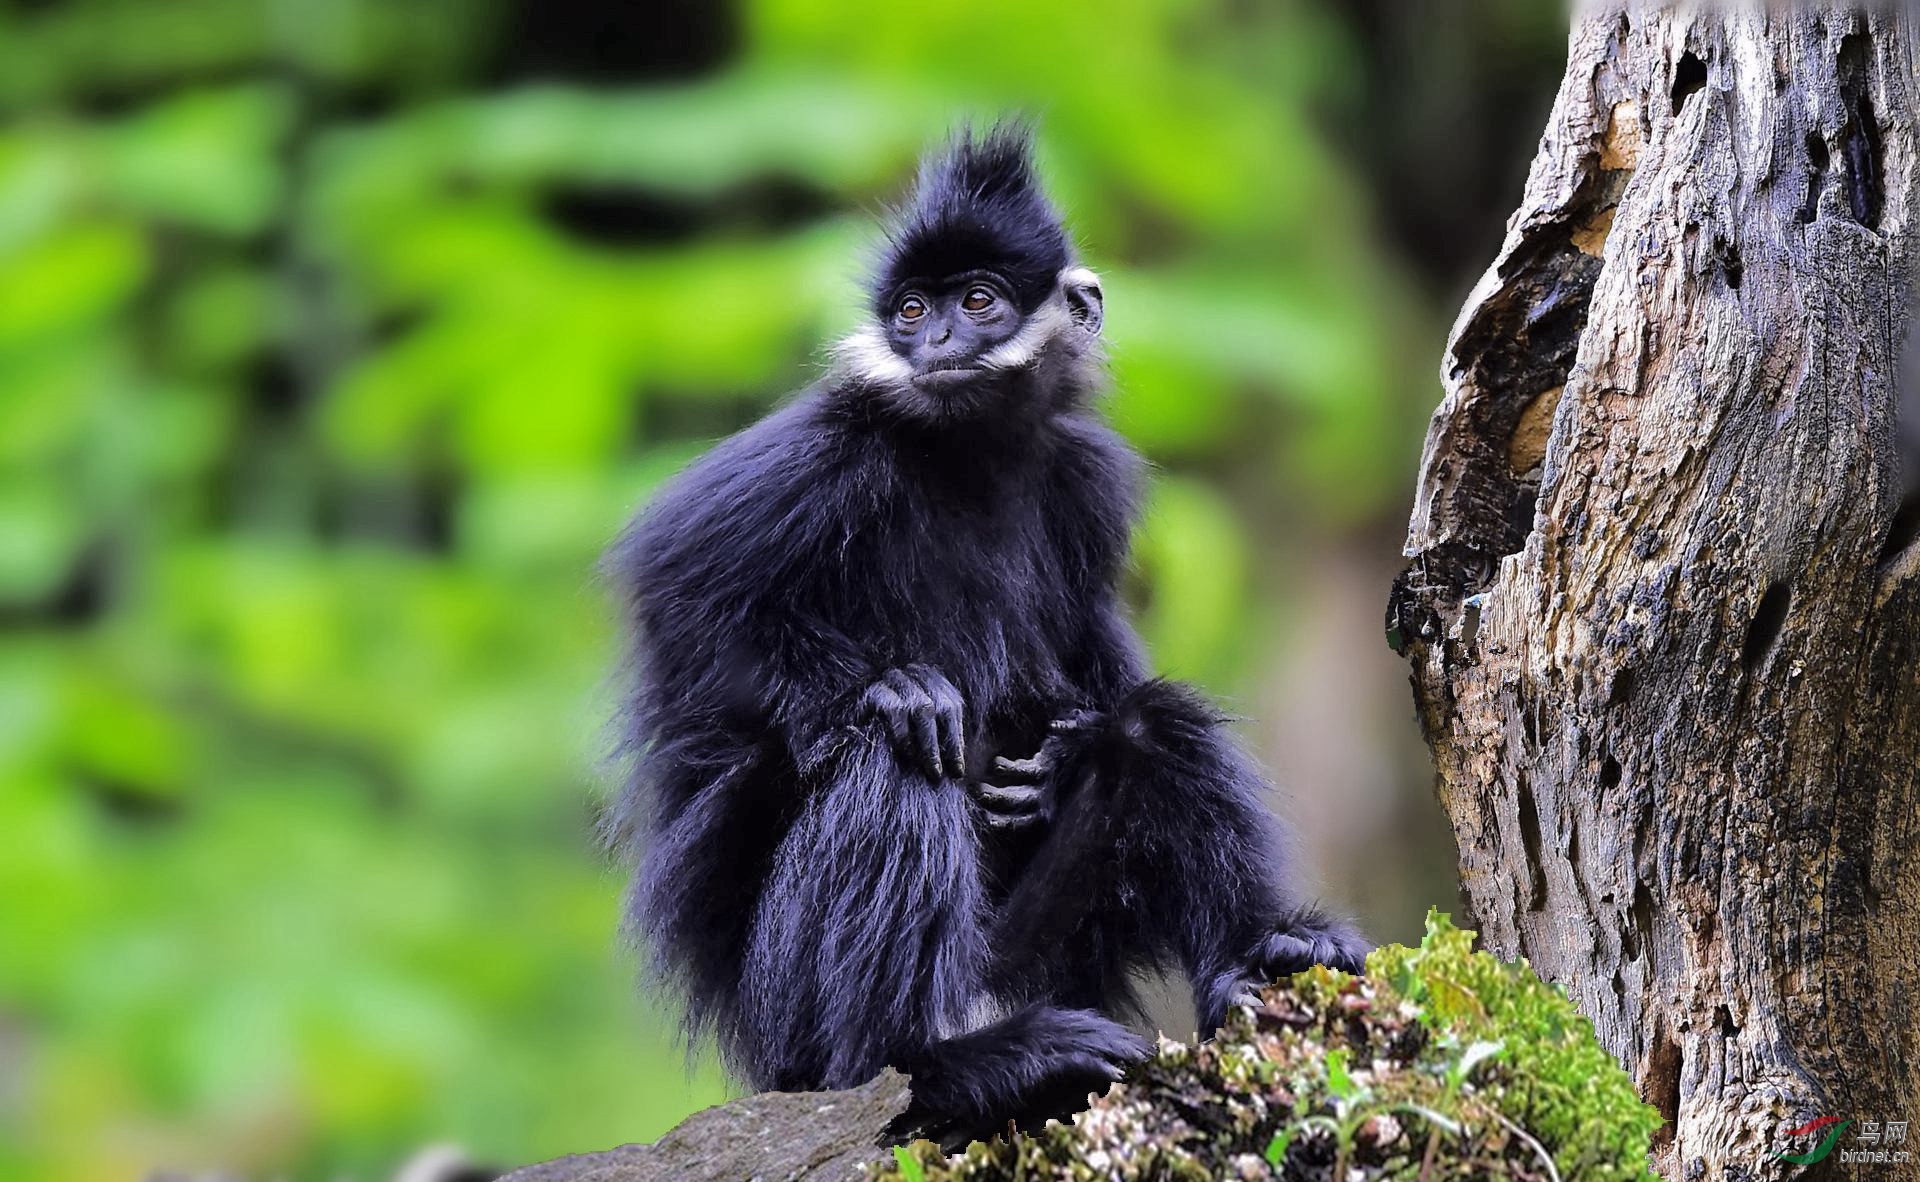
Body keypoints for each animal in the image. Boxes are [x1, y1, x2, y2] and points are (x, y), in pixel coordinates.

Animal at [599, 122, 1367, 1143]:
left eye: (977, 301)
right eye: (911, 310)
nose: (938, 341)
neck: (970, 455)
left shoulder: (1084, 475)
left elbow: (1102, 664)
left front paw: (1064, 757)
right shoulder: (831, 446)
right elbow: (676, 583)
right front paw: (885, 685)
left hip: (1047, 957)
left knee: (1158, 725)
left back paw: (1259, 958)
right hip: (796, 1026)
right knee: (893, 762)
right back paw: (949, 1066)